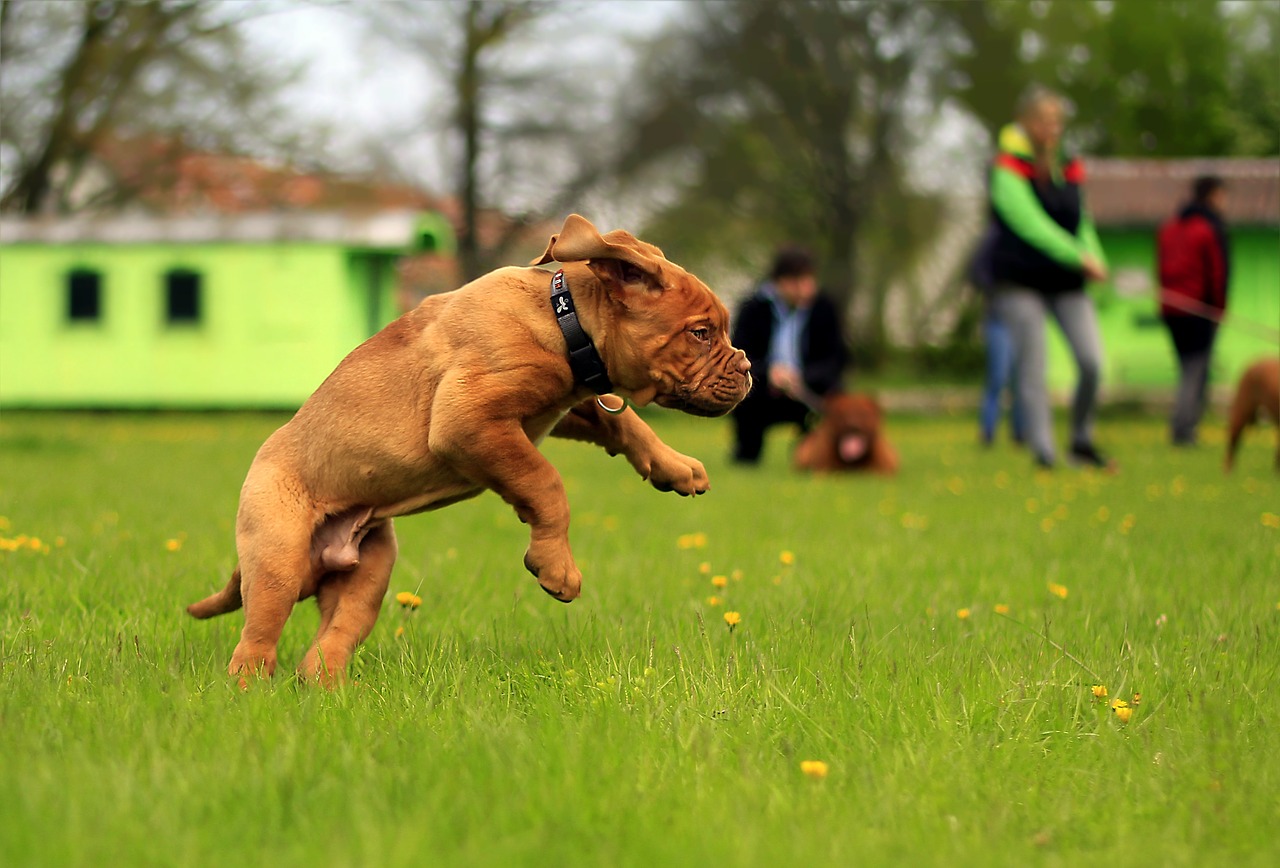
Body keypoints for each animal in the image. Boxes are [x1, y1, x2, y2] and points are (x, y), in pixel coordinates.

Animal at [185, 213, 752, 681]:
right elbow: (546, 483)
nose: (748, 368)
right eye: (701, 334)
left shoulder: (557, 407)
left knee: (332, 638)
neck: (564, 319)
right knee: (256, 642)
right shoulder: (470, 419)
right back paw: (254, 693)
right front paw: (555, 566)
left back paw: (329, 688)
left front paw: (674, 467)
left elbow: (623, 421)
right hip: (277, 558)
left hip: (369, 572)